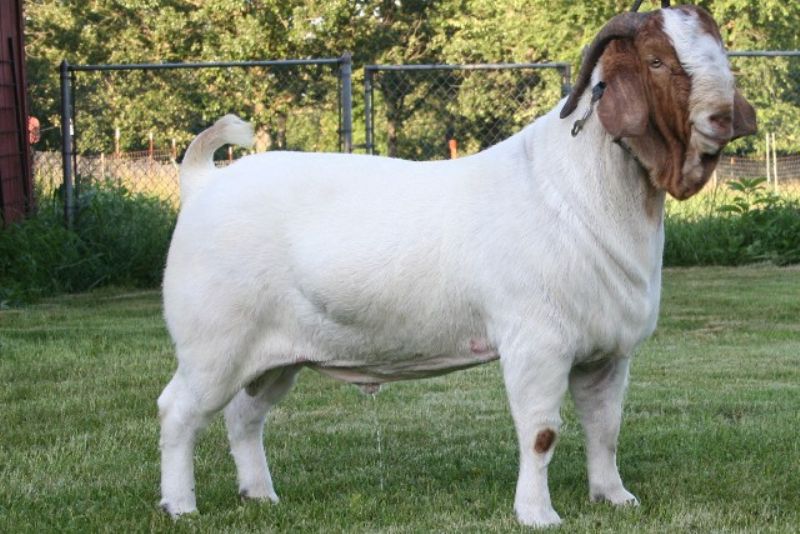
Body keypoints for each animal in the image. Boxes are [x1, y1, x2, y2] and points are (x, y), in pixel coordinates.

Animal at [158, 4, 756, 527]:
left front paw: (615, 498)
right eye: (655, 59)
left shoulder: (606, 353)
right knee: (179, 410)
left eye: (720, 51)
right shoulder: (537, 344)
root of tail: (204, 183)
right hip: (214, 344)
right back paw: (180, 506)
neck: (575, 190)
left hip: (274, 358)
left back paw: (260, 495)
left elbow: (605, 429)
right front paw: (538, 515)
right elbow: (541, 433)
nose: (724, 116)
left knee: (244, 416)